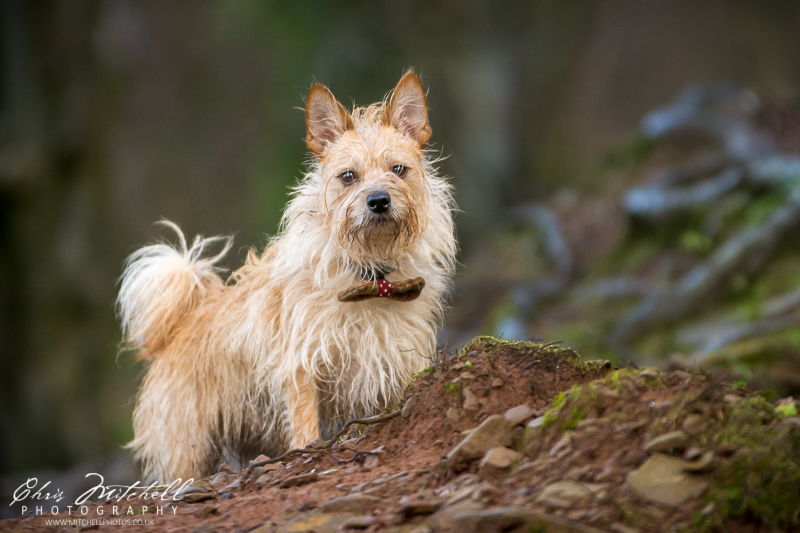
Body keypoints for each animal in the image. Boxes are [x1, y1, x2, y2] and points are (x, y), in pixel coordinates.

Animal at [117, 71, 456, 482]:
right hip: (187, 448)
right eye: (348, 176)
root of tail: (178, 326)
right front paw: (307, 453)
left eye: (398, 170)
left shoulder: (397, 365)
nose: (378, 200)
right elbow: (306, 424)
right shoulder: (302, 368)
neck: (371, 277)